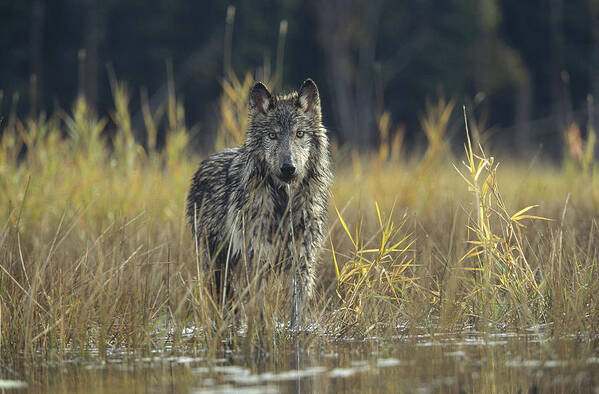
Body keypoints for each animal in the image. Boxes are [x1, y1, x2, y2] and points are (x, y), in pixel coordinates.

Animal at [186, 77, 332, 326]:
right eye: (272, 136)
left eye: (299, 134)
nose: (288, 168)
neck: (284, 204)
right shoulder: (257, 261)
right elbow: (259, 308)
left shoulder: (303, 262)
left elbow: (297, 309)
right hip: (217, 266)